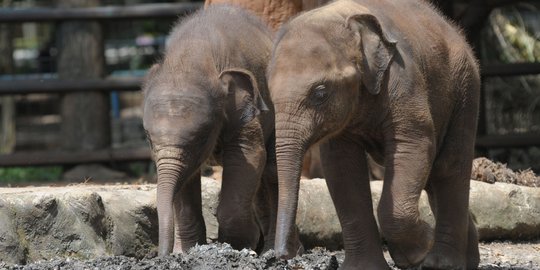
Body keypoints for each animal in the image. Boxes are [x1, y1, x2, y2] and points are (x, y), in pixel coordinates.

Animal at [143, 5, 282, 256]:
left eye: (202, 137)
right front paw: (185, 252)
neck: (193, 55)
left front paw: (238, 244)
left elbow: (249, 156)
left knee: (272, 169)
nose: (161, 255)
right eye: (148, 138)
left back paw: (271, 250)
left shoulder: (243, 109)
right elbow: (186, 178)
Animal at [268, 1, 480, 268]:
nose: (283, 255)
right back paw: (467, 260)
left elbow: (413, 144)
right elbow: (341, 167)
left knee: (449, 166)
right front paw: (365, 266)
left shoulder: (403, 79)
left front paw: (418, 252)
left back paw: (441, 263)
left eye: (320, 93)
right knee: (433, 177)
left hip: (465, 87)